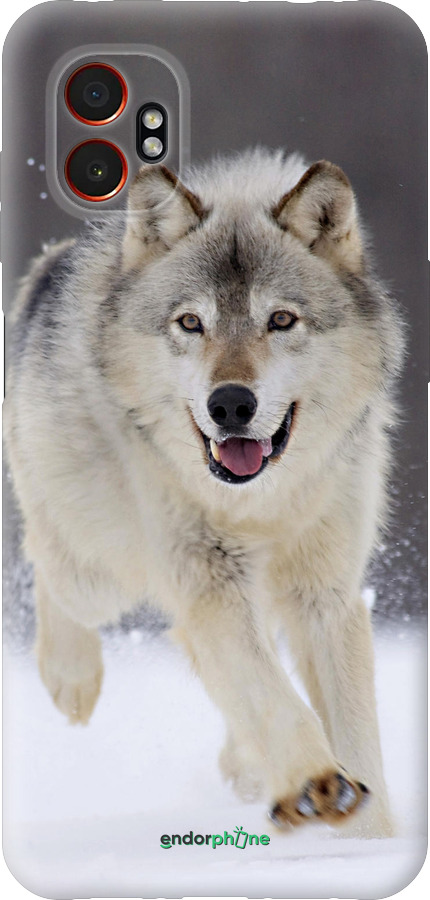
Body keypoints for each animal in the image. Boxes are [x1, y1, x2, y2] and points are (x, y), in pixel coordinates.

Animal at [4, 149, 403, 837]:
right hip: (100, 573)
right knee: (49, 566)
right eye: (191, 322)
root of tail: (48, 264)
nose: (231, 404)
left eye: (281, 320)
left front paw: (368, 836)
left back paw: (246, 766)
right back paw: (71, 680)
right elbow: (273, 696)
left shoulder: (325, 594)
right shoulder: (209, 580)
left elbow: (352, 732)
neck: (261, 503)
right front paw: (316, 783)